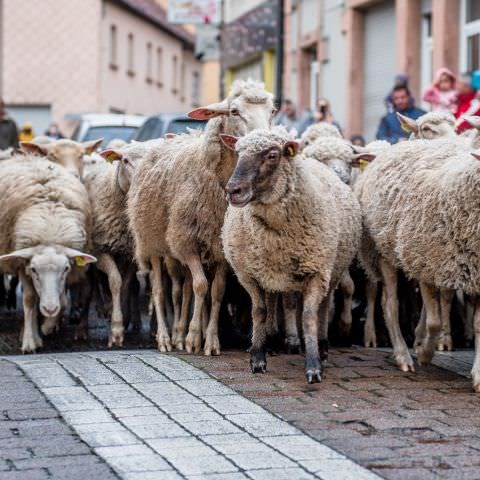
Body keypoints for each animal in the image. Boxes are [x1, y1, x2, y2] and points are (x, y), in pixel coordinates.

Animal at [0, 156, 96, 350]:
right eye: (34, 269)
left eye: (66, 269)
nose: (50, 308)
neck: (50, 234)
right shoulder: (23, 265)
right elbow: (30, 299)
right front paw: (30, 341)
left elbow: (62, 300)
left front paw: (47, 327)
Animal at [82, 139, 165, 344]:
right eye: (125, 160)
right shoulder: (101, 250)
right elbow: (114, 281)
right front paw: (116, 329)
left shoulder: (130, 254)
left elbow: (126, 284)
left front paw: (122, 319)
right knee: (94, 282)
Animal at [127, 79, 276, 354]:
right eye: (234, 111)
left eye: (272, 111)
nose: (266, 145)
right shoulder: (186, 241)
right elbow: (200, 286)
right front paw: (193, 338)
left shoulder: (220, 248)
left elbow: (216, 292)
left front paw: (212, 340)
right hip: (153, 244)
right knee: (160, 291)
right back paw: (166, 337)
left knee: (183, 291)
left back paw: (178, 332)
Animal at [221, 129, 360, 384]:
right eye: (237, 152)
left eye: (272, 155)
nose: (233, 190)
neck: (275, 237)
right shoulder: (249, 275)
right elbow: (260, 311)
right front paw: (257, 358)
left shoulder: (317, 272)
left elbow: (308, 316)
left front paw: (313, 366)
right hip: (279, 275)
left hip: (331, 270)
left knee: (324, 307)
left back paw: (322, 348)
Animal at [354, 137, 480, 392]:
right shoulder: (424, 259)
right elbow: (434, 322)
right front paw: (424, 353)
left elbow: (478, 325)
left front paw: (478, 375)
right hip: (386, 252)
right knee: (390, 304)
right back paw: (404, 355)